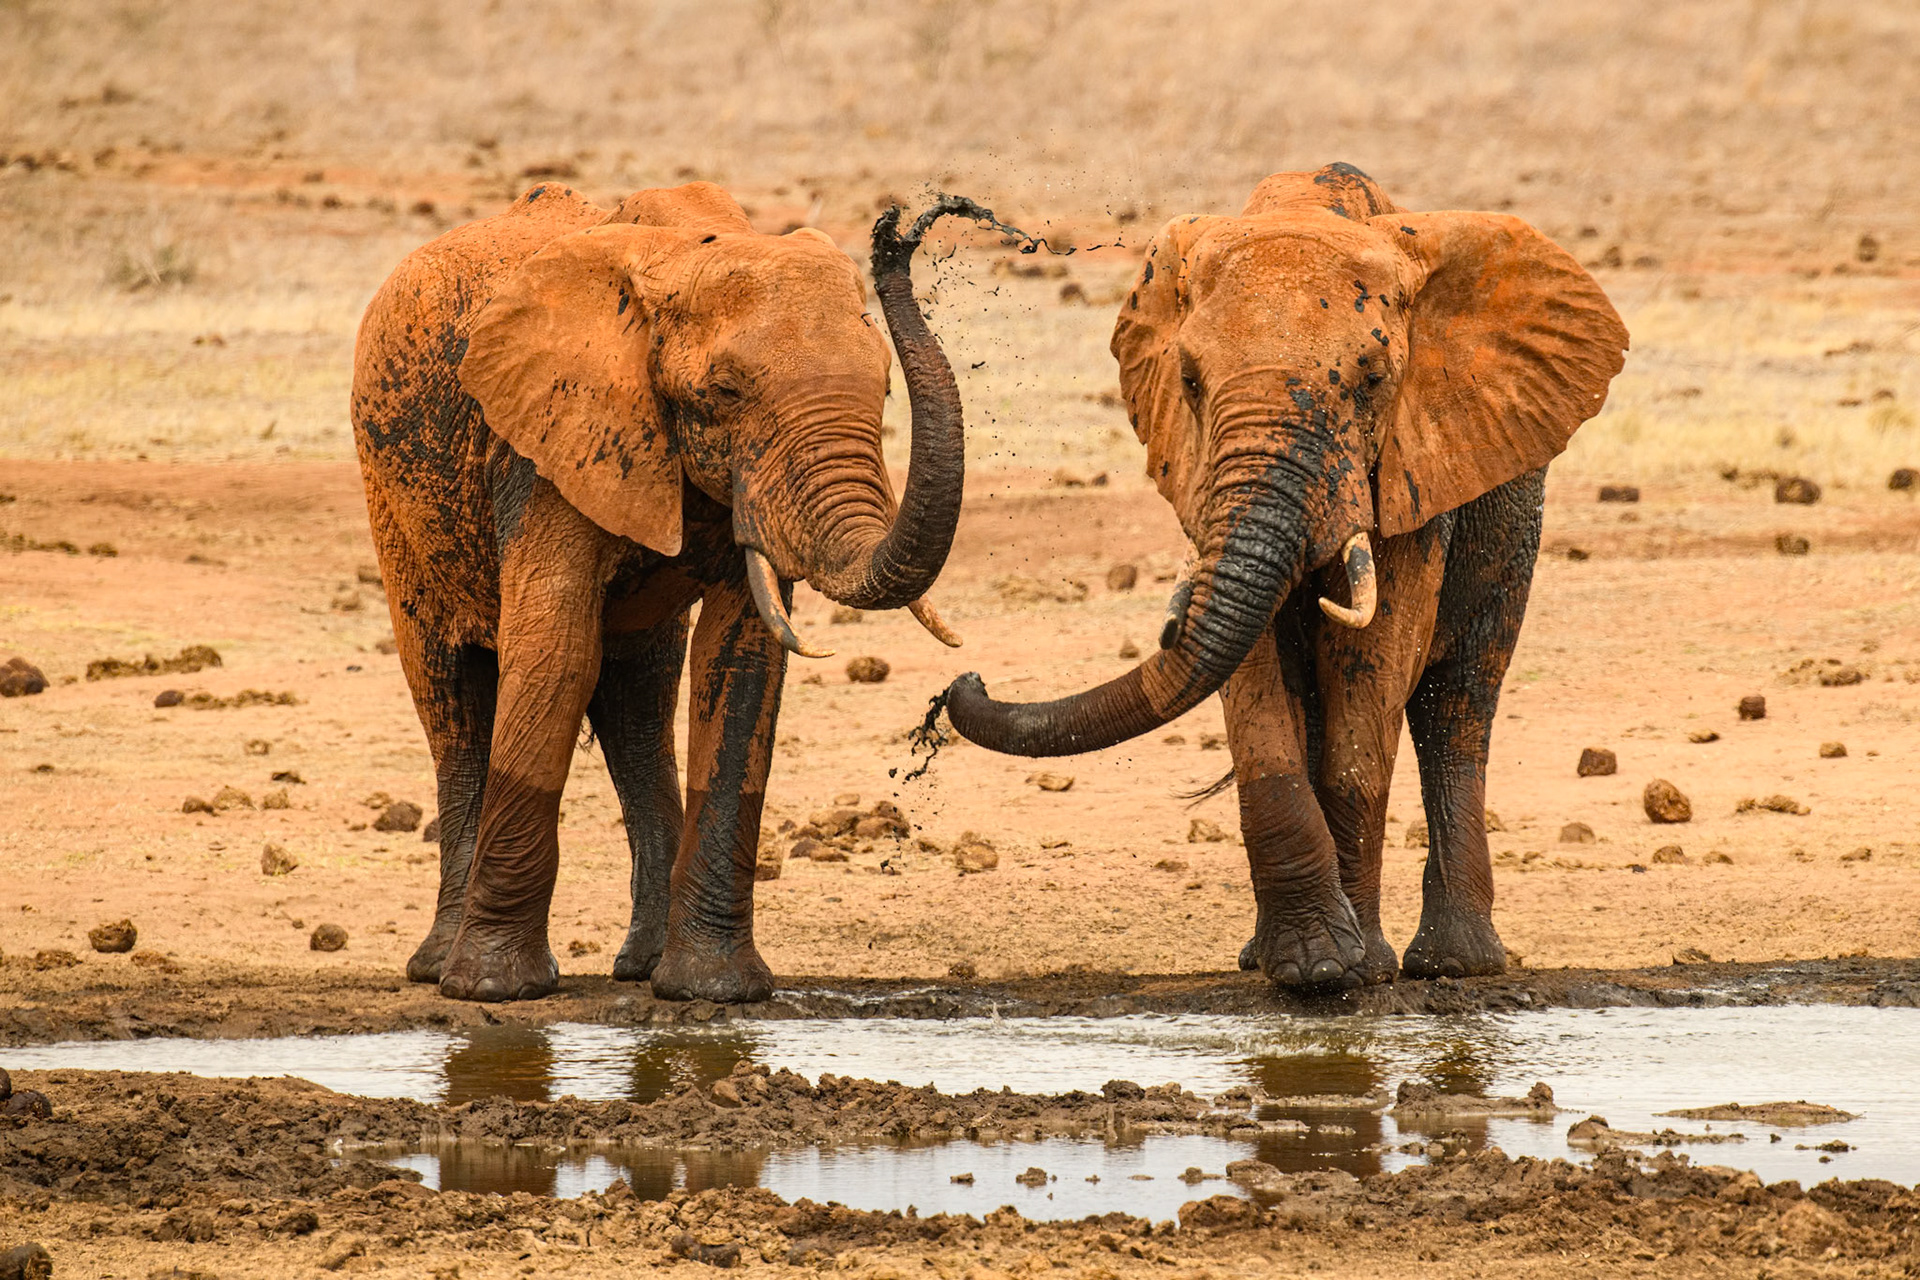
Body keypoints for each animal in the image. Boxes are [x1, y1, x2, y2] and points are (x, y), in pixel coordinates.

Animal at [351, 181, 971, 1004]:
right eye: (724, 392)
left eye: (884, 387)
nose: (900, 231)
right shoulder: (550, 441)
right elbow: (554, 655)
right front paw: (495, 991)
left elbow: (739, 663)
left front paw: (715, 993)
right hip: (394, 505)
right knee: (450, 697)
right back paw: (437, 969)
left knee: (638, 699)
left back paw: (640, 967)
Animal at [944, 164, 1628, 990]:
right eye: (1190, 380)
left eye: (1372, 380)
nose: (964, 680)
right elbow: (1255, 681)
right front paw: (1310, 968)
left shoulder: (1406, 470)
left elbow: (1373, 664)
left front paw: (1357, 973)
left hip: (1510, 513)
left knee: (1459, 700)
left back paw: (1454, 965)